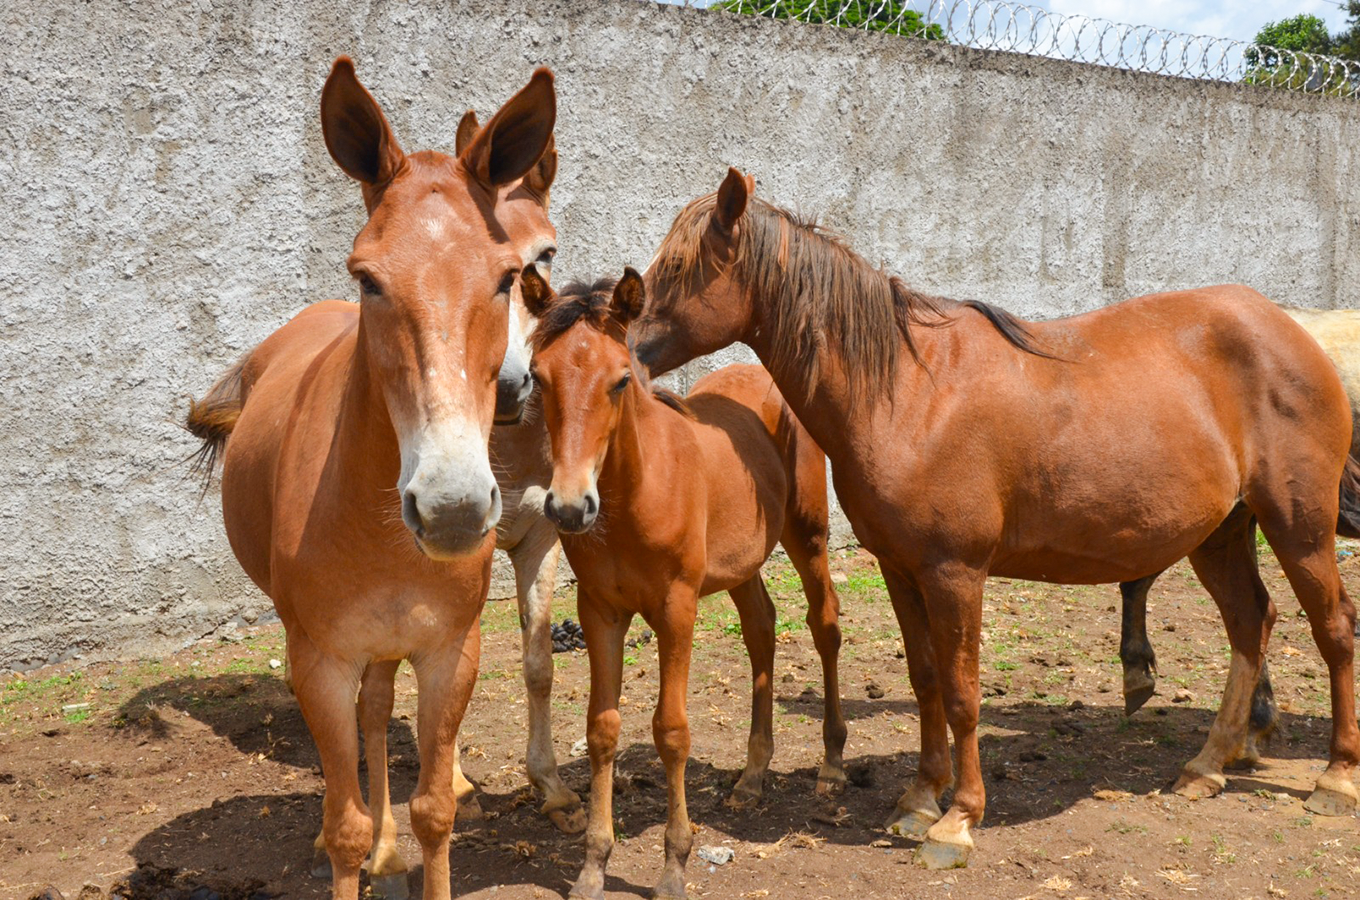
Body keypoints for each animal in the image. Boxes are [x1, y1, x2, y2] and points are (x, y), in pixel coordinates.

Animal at [187, 58, 557, 900]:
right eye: (368, 279)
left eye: (507, 277)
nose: (452, 508)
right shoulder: (319, 663)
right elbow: (345, 825)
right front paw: (369, 841)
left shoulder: (450, 653)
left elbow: (436, 809)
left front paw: (411, 835)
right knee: (367, 725)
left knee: (382, 705)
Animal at [522, 273, 848, 900]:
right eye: (538, 376)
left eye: (621, 379)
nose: (570, 508)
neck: (633, 494)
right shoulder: (599, 609)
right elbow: (602, 729)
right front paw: (594, 864)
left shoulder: (676, 608)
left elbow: (671, 731)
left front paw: (675, 865)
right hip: (740, 563)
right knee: (761, 629)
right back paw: (751, 777)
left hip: (808, 535)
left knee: (825, 626)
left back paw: (832, 765)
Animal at [633, 171, 1360, 875]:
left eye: (681, 267)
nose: (629, 350)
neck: (907, 390)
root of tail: (1292, 332)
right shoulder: (901, 570)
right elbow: (926, 681)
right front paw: (920, 798)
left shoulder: (956, 573)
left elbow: (962, 694)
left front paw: (958, 819)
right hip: (1221, 533)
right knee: (1250, 622)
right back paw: (1208, 766)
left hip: (1299, 526)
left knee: (1333, 630)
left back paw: (1334, 778)